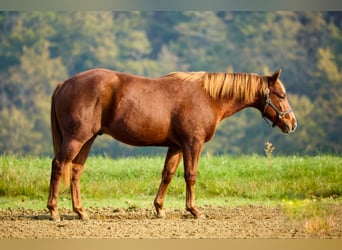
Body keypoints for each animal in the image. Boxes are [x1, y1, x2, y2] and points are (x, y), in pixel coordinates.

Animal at [46, 68, 296, 221]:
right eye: (281, 95)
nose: (292, 123)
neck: (208, 97)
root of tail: (63, 84)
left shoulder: (176, 146)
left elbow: (167, 175)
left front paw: (159, 209)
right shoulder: (193, 144)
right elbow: (190, 176)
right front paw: (194, 210)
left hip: (88, 139)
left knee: (75, 170)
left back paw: (81, 212)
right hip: (76, 139)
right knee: (59, 165)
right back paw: (54, 211)